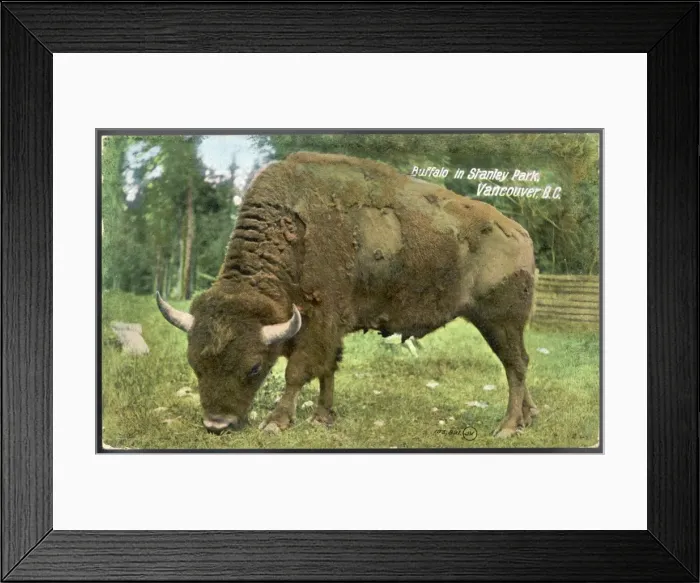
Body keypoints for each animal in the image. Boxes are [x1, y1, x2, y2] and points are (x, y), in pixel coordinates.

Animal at [157, 152, 537, 438]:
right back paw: (527, 418)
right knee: (516, 366)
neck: (295, 234)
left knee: (516, 365)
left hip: (501, 322)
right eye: (194, 363)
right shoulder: (326, 328)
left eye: (253, 367)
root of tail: (521, 234)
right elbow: (328, 369)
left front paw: (276, 422)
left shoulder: (320, 322)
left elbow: (298, 371)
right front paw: (323, 417)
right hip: (501, 326)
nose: (216, 424)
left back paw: (506, 427)